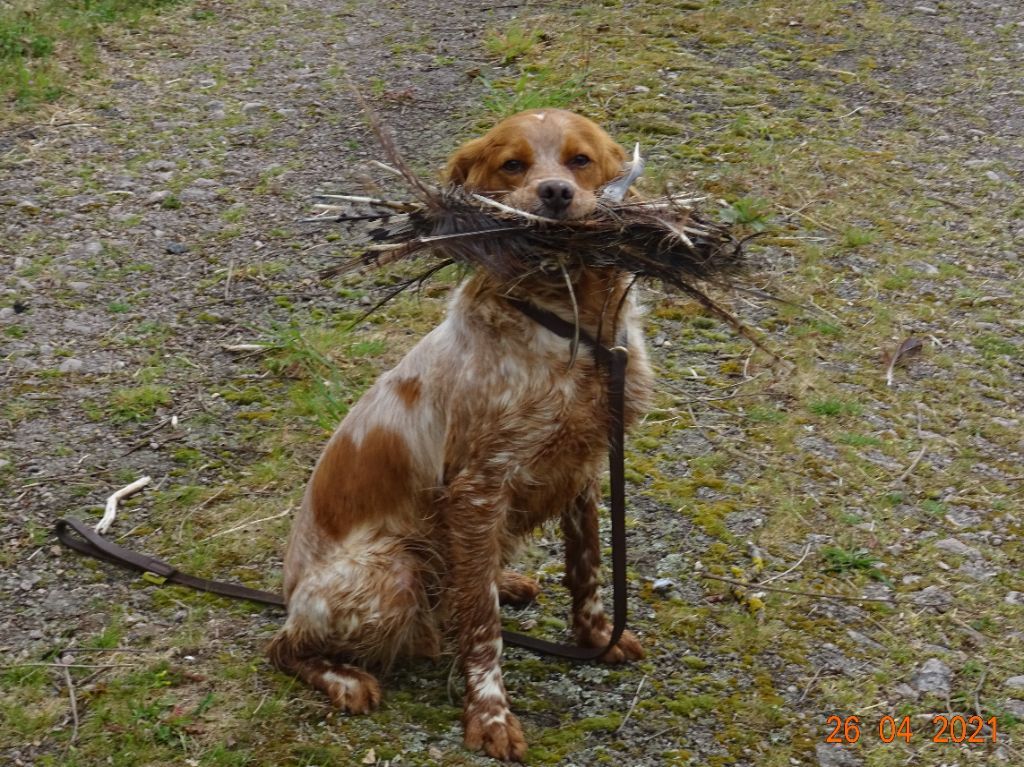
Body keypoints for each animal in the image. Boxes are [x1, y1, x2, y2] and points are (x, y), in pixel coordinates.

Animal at [268, 109, 651, 761]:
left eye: (579, 160)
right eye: (512, 165)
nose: (555, 195)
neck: (567, 325)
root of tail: (290, 591)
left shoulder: (584, 462)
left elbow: (589, 567)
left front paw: (598, 636)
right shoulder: (479, 487)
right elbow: (481, 625)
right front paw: (490, 715)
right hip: (390, 572)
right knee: (283, 644)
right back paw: (346, 679)